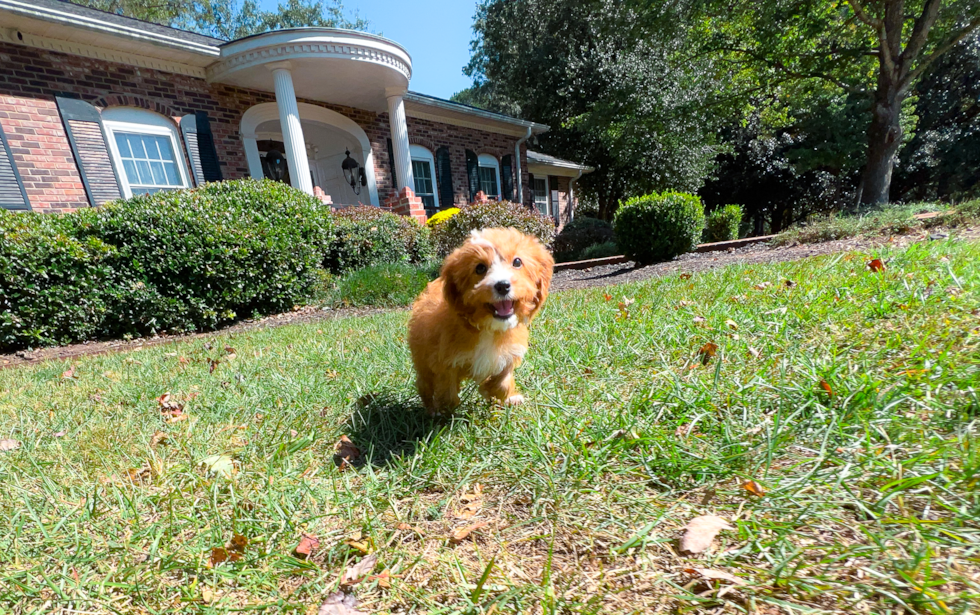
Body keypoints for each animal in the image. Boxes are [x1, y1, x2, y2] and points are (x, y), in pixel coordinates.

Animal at [410, 227, 556, 414]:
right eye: (480, 268)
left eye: (517, 262)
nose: (502, 285)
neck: (489, 328)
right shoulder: (444, 360)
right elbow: (446, 388)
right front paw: (445, 409)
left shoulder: (508, 352)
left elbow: (502, 380)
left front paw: (499, 394)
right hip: (422, 358)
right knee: (425, 383)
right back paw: (431, 408)